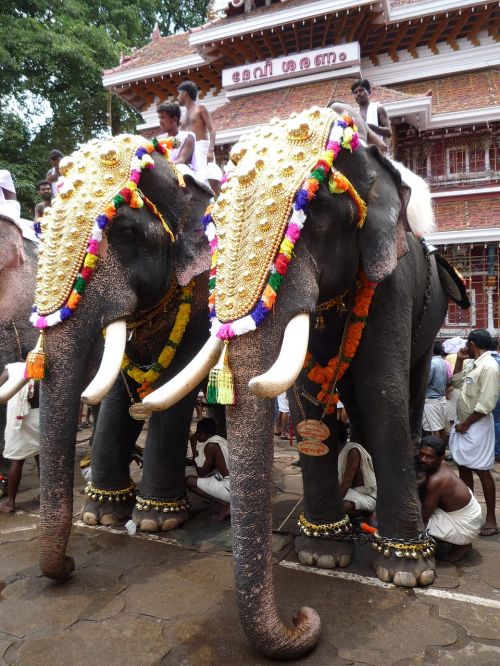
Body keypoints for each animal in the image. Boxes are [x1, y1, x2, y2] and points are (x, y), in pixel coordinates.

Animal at [1, 136, 213, 580]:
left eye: (127, 232)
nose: (68, 564)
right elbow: (115, 385)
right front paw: (102, 515)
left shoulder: (203, 297)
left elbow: (173, 389)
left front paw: (157, 521)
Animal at [142, 106, 468, 656]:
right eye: (214, 225)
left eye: (312, 214)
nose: (303, 617)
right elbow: (306, 396)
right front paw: (322, 553)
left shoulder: (392, 281)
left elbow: (381, 389)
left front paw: (406, 572)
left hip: (434, 311)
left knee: (408, 384)